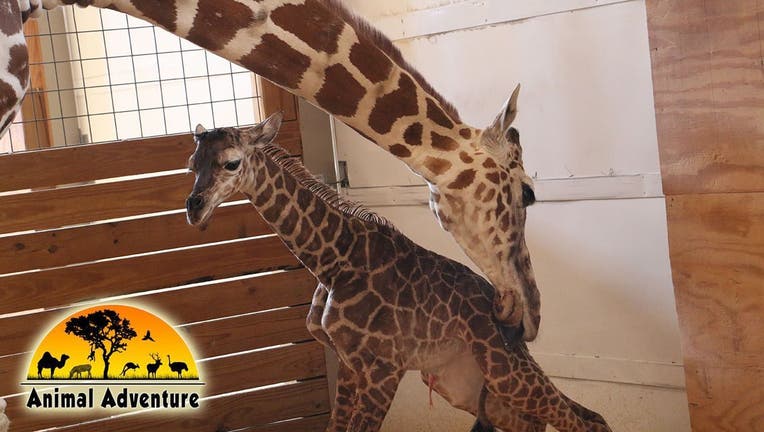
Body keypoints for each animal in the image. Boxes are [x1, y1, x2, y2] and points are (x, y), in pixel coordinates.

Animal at [185, 112, 611, 432]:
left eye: (231, 162)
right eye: (192, 165)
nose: (194, 208)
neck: (332, 263)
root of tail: (516, 328)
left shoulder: (384, 367)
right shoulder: (350, 364)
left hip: (504, 369)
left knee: (584, 420)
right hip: (464, 384)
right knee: (548, 421)